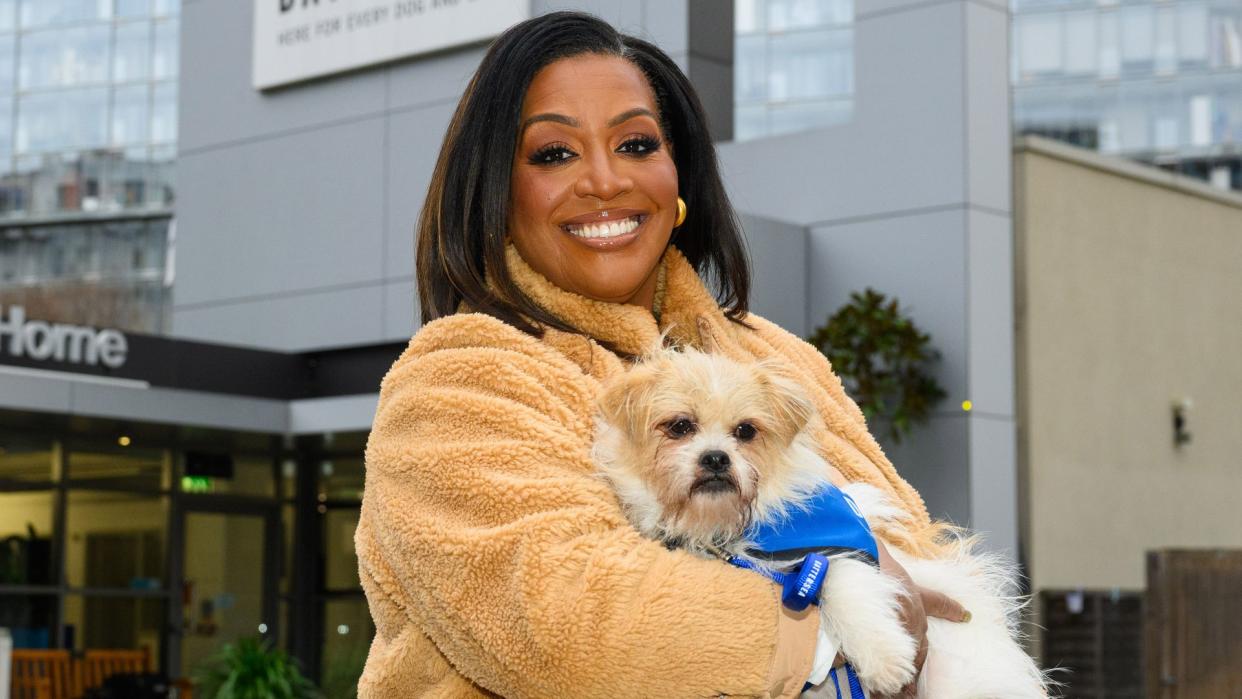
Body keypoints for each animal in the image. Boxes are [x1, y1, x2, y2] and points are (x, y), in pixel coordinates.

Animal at [591, 330, 1048, 699]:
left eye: (746, 431)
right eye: (680, 426)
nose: (716, 458)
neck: (725, 527)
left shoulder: (838, 551)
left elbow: (845, 590)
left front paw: (885, 659)